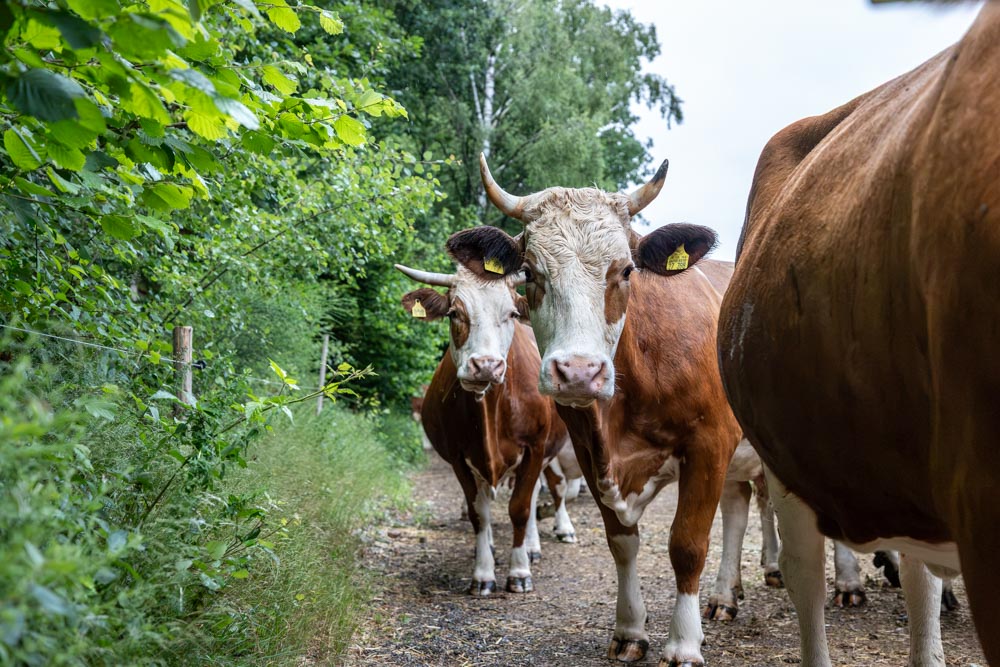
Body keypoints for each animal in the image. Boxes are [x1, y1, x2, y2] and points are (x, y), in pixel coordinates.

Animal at [396, 258, 577, 595]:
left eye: (512, 314)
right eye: (454, 313)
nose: (485, 366)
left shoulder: (534, 449)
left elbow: (521, 507)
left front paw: (519, 571)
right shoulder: (459, 457)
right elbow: (479, 513)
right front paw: (482, 573)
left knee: (543, 492)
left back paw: (536, 544)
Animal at [444, 154, 744, 666]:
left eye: (625, 271)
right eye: (530, 273)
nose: (579, 372)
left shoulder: (710, 445)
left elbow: (688, 544)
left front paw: (684, 642)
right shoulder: (588, 450)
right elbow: (621, 543)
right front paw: (630, 629)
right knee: (741, 511)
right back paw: (728, 595)